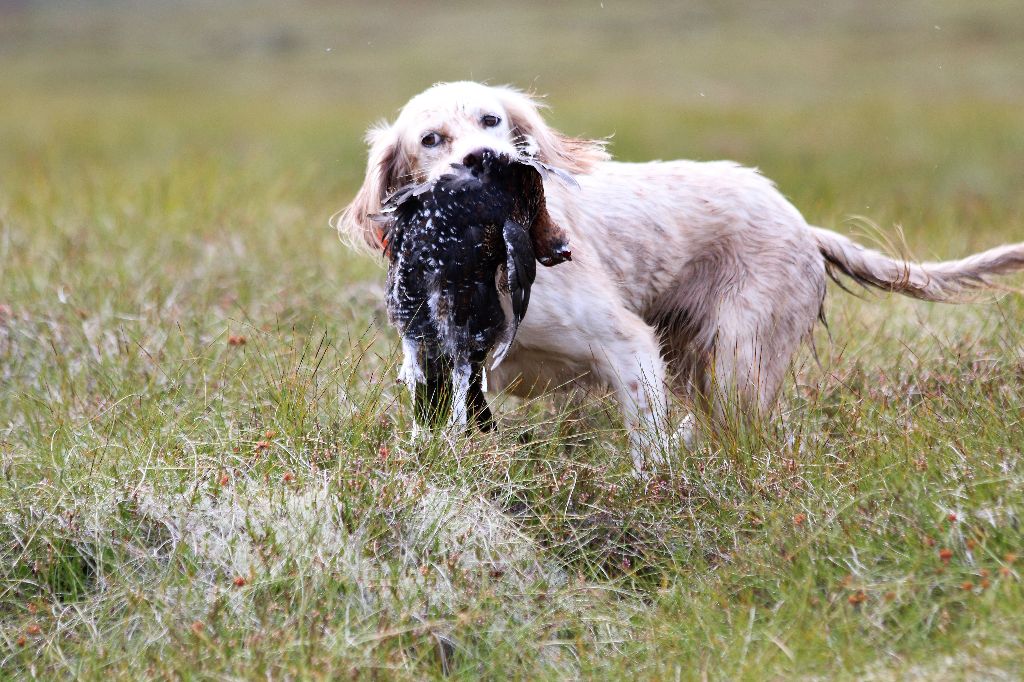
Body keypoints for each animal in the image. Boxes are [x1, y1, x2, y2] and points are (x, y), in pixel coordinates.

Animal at [339, 79, 1024, 471]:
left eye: (492, 120)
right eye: (431, 139)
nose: (486, 159)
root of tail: (802, 224)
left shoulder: (625, 345)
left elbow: (648, 443)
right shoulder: (435, 364)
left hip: (738, 363)